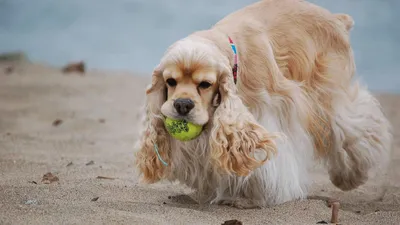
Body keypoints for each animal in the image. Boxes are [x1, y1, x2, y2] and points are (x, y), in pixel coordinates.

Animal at [134, 0, 390, 209]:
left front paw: (248, 198)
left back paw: (350, 177)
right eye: (171, 81)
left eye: (205, 84)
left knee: (352, 126)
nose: (182, 105)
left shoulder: (268, 110)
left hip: (329, 93)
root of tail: (336, 18)